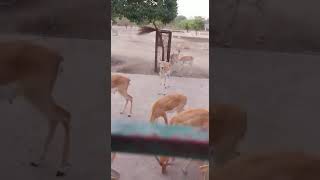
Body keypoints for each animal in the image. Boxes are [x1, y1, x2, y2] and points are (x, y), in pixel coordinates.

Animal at [0, 40, 71, 176]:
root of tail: (57, 57)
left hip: (36, 94)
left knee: (64, 115)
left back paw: (60, 168)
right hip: (39, 95)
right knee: (56, 118)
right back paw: (39, 161)